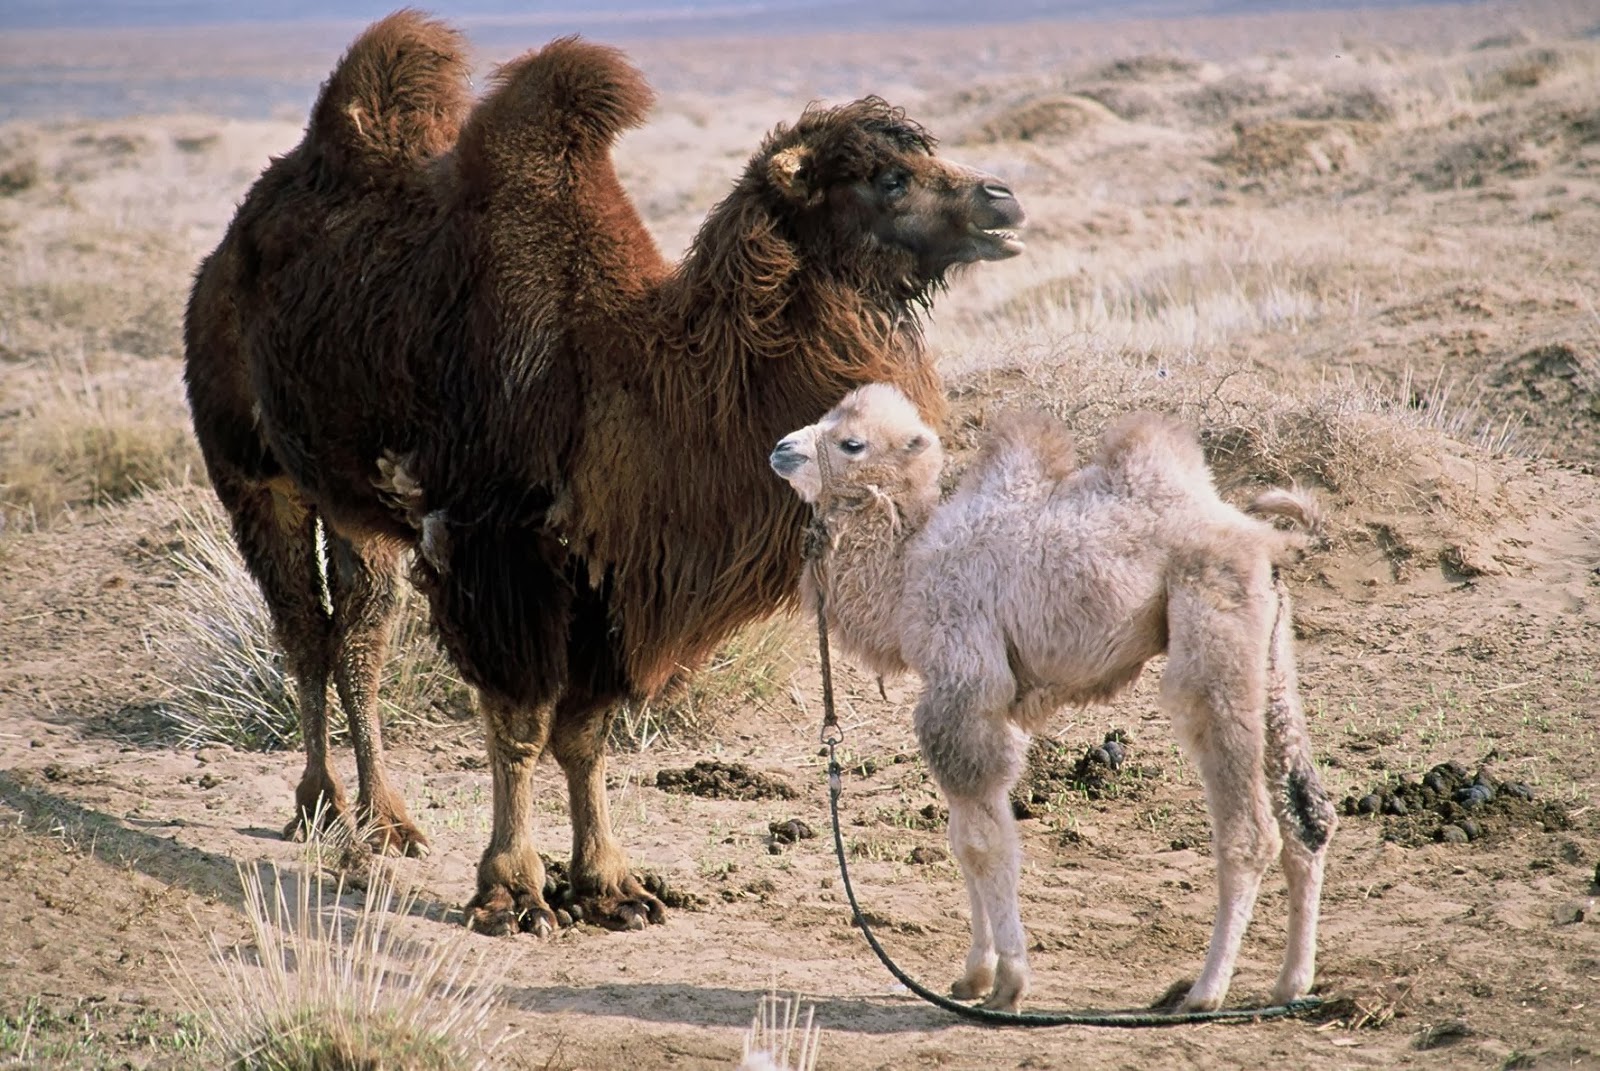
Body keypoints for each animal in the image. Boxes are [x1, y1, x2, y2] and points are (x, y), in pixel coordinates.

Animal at [183, 12, 1026, 935]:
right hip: (254, 473)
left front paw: (610, 884)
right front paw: (511, 892)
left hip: (356, 506)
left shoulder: (615, 572)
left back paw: (387, 818)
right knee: (304, 630)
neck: (628, 374)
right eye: (888, 177)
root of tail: (233, 241)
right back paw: (321, 804)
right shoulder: (496, 552)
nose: (1003, 200)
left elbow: (584, 735)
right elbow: (518, 723)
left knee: (359, 635)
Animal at [769, 384, 1334, 1013]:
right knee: (1307, 813)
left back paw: (1204, 992)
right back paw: (1291, 983)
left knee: (1247, 825)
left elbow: (986, 843)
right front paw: (973, 977)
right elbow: (963, 840)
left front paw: (1009, 984)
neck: (907, 569)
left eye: (851, 442)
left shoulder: (965, 683)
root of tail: (1270, 540)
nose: (782, 449)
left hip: (1212, 633)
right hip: (1271, 656)